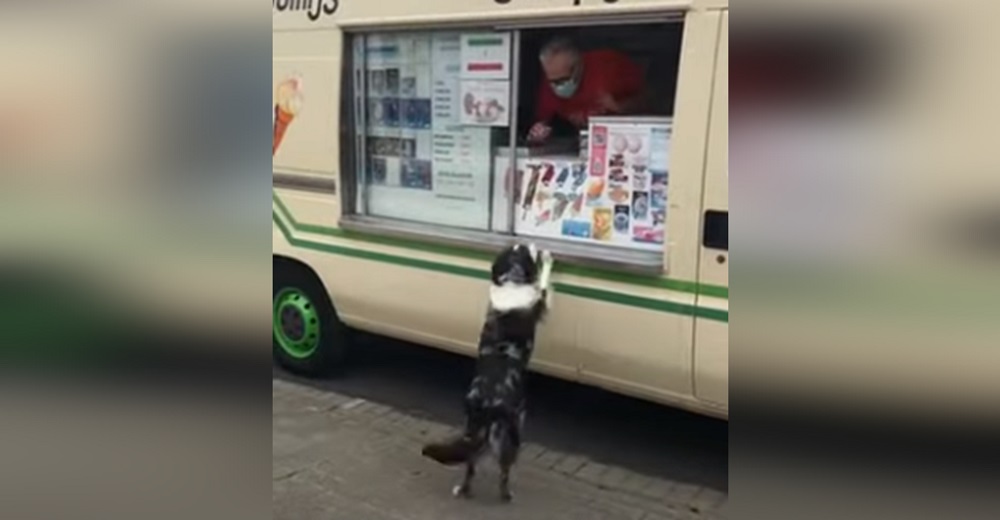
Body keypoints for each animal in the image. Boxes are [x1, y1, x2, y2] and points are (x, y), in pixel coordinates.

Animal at [420, 244, 556, 504]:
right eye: (527, 250)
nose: (534, 245)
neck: (511, 280)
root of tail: (484, 406)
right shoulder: (541, 303)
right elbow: (544, 284)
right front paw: (548, 259)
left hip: (472, 432)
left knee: (470, 465)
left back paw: (463, 490)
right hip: (511, 432)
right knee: (504, 470)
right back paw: (506, 495)